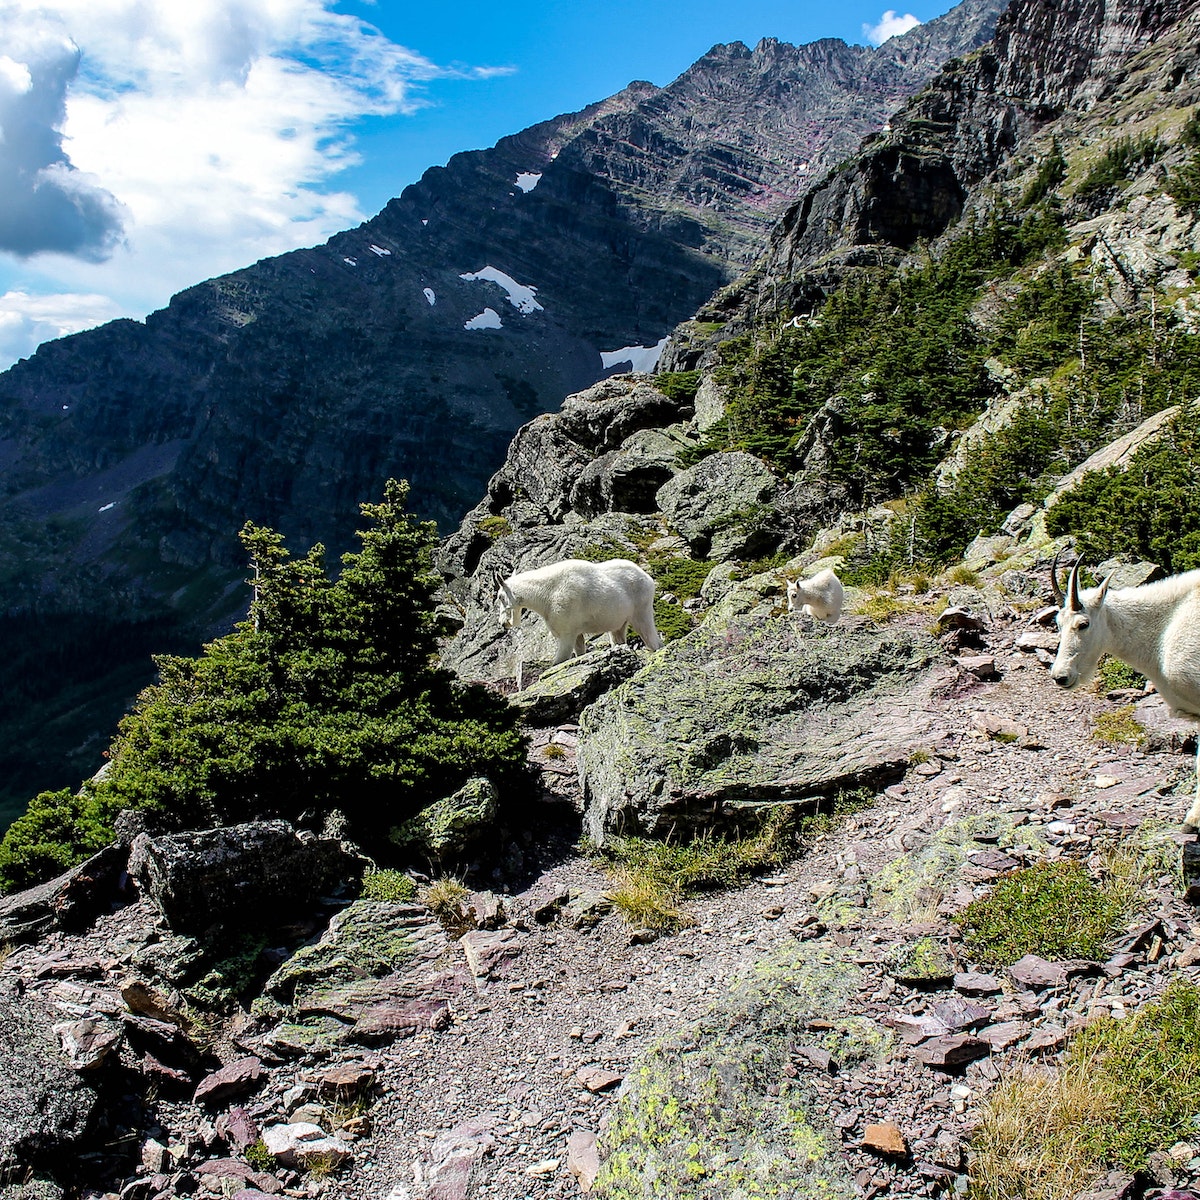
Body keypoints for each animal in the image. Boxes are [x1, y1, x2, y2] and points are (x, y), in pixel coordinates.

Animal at [496, 554, 667, 667]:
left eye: (500, 597)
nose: (503, 623)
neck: (545, 594)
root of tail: (649, 579)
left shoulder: (566, 632)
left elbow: (559, 661)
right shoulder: (576, 632)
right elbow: (579, 651)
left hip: (641, 610)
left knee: (651, 638)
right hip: (619, 621)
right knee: (618, 636)